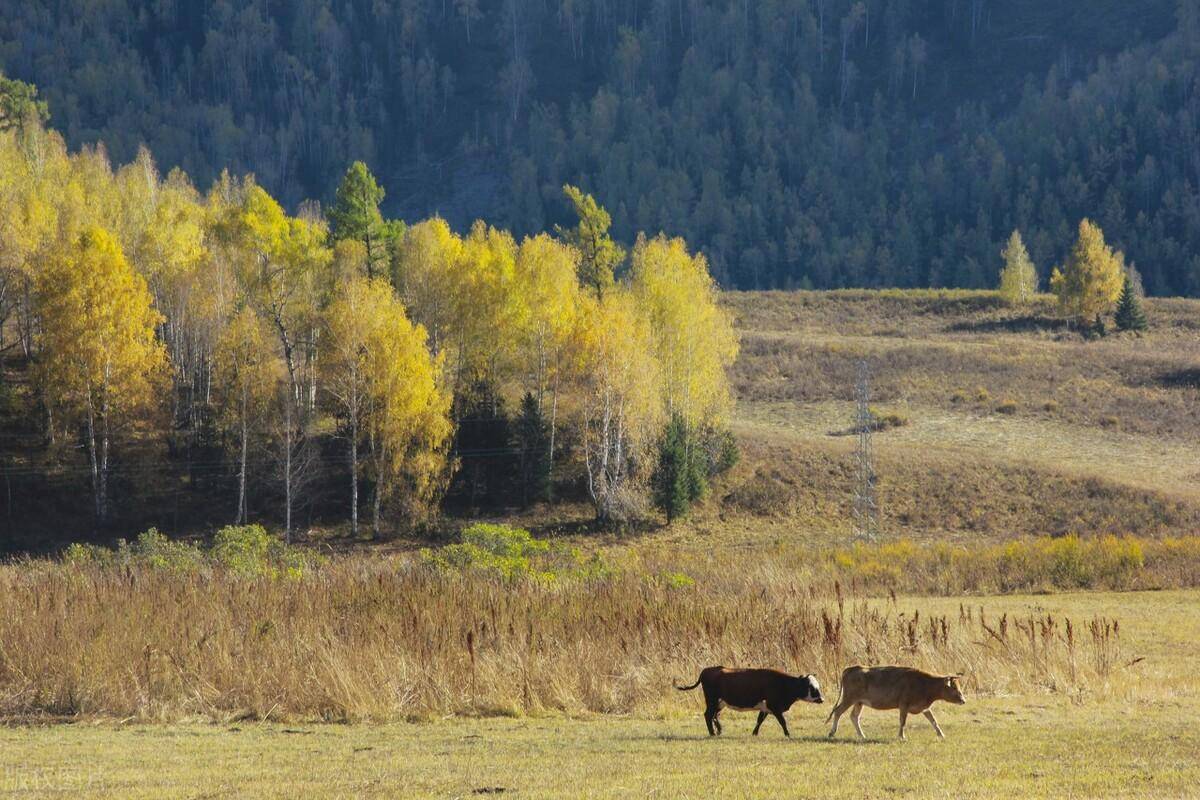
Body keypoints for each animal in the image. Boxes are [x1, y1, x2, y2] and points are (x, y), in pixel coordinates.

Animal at [676, 666, 825, 734]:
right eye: (811, 687)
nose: (822, 699)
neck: (782, 683)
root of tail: (706, 670)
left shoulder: (765, 707)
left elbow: (760, 720)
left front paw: (754, 733)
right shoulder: (774, 707)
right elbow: (783, 722)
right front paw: (788, 734)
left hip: (719, 703)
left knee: (714, 716)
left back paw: (718, 730)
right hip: (712, 701)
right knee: (708, 715)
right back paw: (712, 733)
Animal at [825, 666, 964, 743]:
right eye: (954, 688)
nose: (963, 700)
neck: (925, 684)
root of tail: (851, 668)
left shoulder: (924, 708)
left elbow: (934, 721)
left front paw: (941, 735)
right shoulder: (903, 705)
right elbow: (902, 722)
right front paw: (902, 737)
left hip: (859, 702)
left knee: (854, 717)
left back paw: (862, 736)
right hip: (849, 698)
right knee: (838, 711)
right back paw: (832, 732)